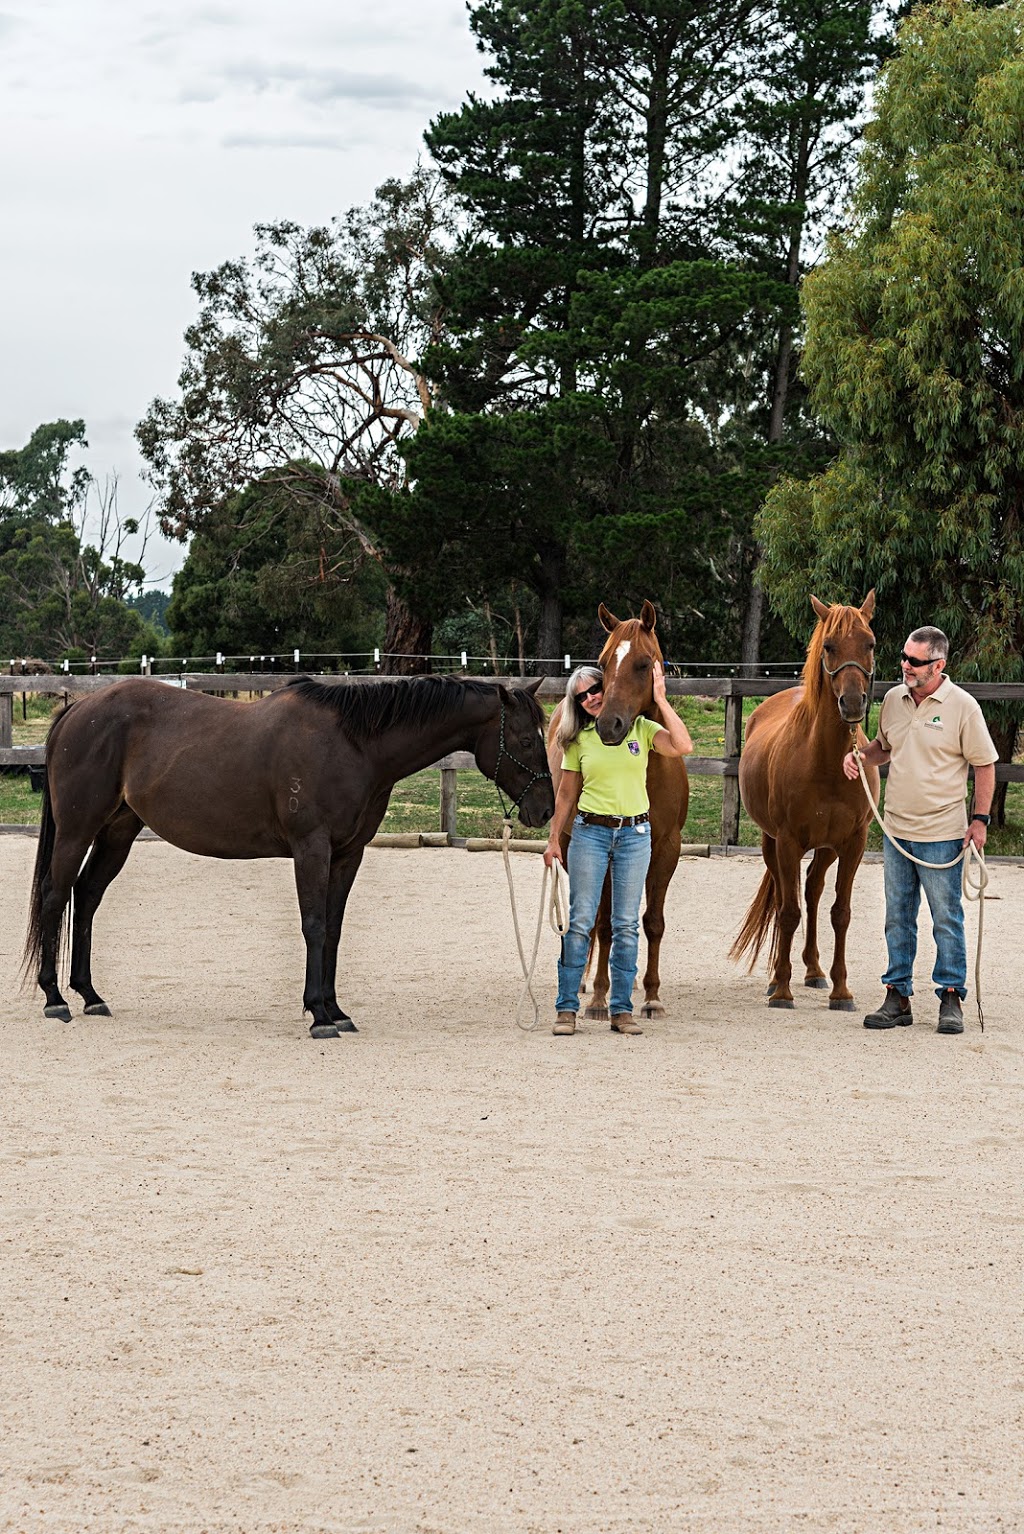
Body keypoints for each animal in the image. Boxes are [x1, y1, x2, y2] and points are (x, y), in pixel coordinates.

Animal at [23, 678, 551, 1036]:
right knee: (55, 896)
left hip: (118, 831)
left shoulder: (347, 855)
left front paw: (337, 1010)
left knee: (87, 897)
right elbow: (314, 925)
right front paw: (318, 1015)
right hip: (77, 831)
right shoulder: (311, 848)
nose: (544, 809)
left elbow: (333, 929)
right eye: (526, 740)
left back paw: (90, 995)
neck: (353, 745)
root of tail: (79, 709)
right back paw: (54, 998)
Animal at [551, 598, 686, 1018]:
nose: (608, 725)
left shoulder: (666, 849)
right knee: (590, 918)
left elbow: (653, 921)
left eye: (644, 663)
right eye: (603, 662)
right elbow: (606, 923)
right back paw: (581, 980)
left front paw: (653, 996)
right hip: (570, 847)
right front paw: (599, 996)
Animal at [726, 585, 882, 1006]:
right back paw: (781, 977)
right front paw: (781, 989)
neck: (826, 763)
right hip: (772, 843)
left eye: (869, 643)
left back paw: (814, 971)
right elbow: (788, 912)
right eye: (829, 645)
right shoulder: (788, 841)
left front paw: (842, 990)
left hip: (826, 848)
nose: (853, 703)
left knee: (812, 890)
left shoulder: (854, 842)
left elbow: (839, 912)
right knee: (787, 898)